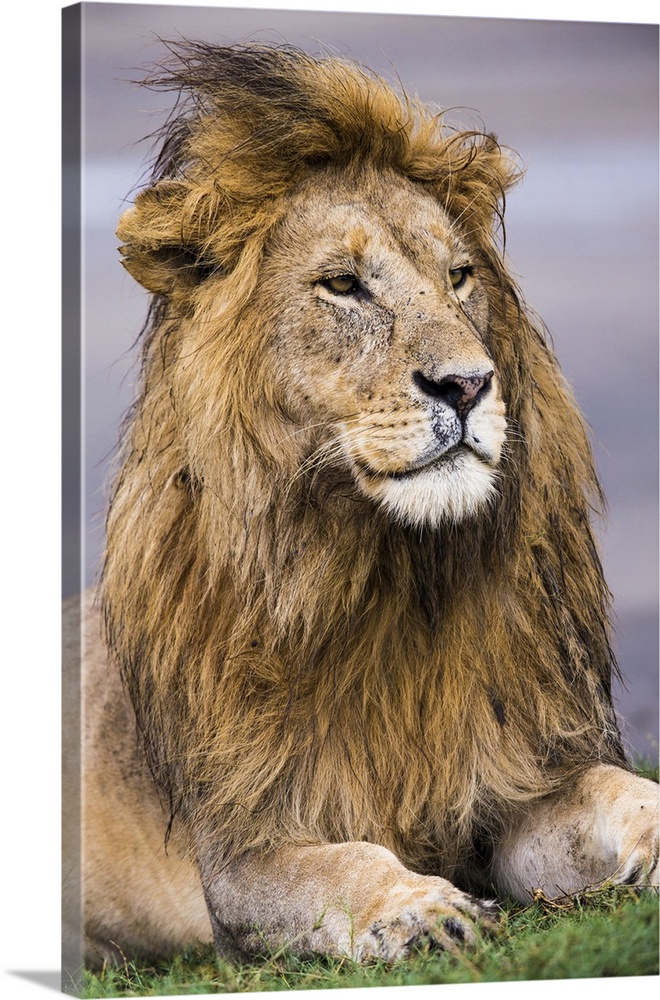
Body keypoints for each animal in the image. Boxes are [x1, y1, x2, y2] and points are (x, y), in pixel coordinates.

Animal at [63, 43, 660, 972]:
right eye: (343, 285)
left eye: (460, 277)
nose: (469, 384)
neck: (393, 581)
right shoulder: (242, 853)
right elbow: (344, 864)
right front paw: (422, 909)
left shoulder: (512, 785)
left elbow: (616, 787)